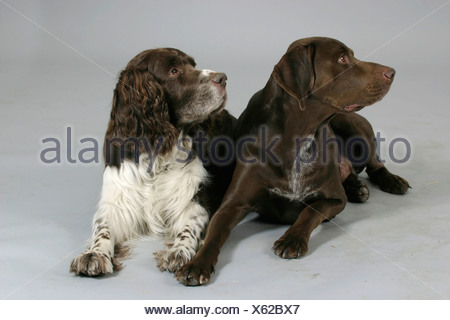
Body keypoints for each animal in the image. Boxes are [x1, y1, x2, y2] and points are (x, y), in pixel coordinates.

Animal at [70, 48, 236, 276]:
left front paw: (179, 250)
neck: (157, 154)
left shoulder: (197, 199)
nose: (223, 78)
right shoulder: (119, 200)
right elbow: (102, 226)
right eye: (174, 70)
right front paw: (95, 254)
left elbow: (190, 225)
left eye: (193, 65)